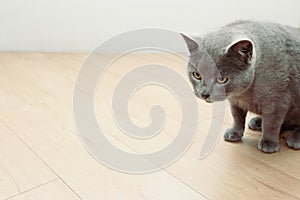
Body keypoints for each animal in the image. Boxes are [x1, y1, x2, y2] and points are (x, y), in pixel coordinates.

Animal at [180, 20, 300, 153]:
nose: (204, 94)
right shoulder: (235, 102)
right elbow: (237, 117)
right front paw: (235, 133)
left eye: (222, 79)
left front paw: (268, 142)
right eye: (197, 75)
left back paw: (295, 139)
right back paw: (257, 122)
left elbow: (271, 124)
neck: (243, 94)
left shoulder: (278, 102)